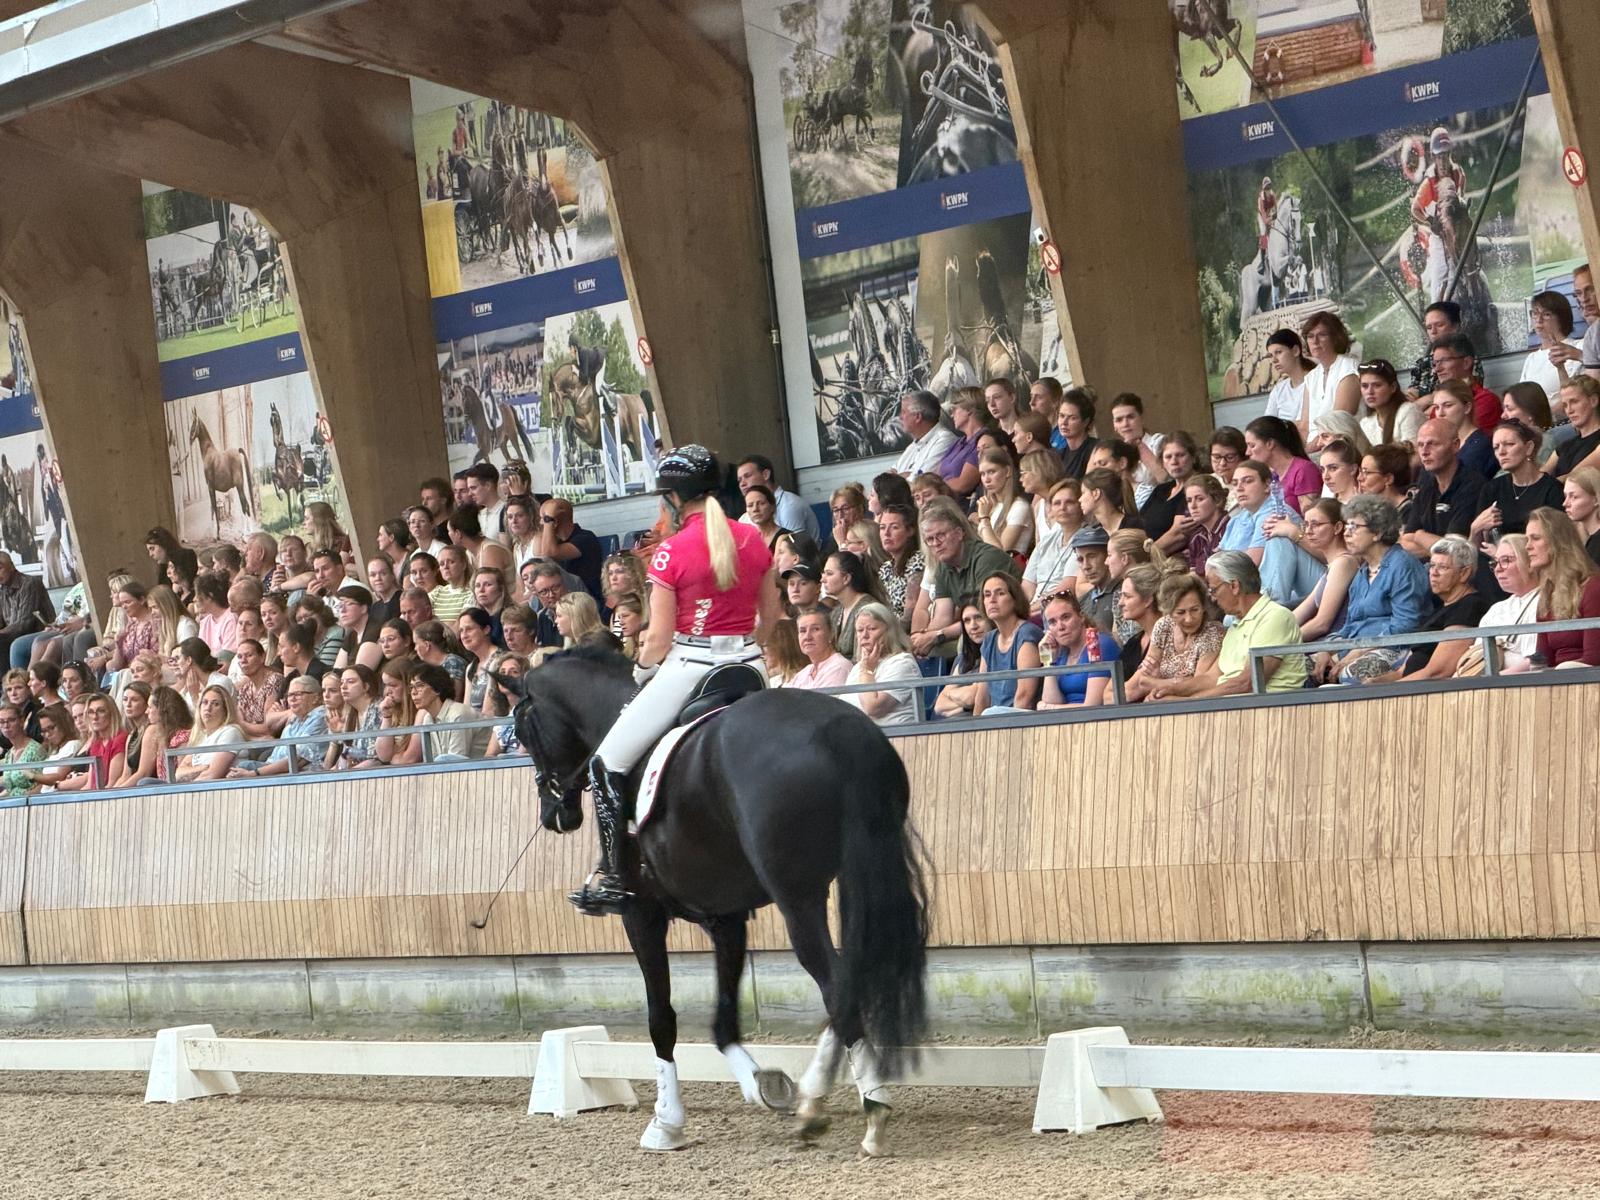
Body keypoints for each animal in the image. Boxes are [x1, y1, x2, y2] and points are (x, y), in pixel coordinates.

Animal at [188, 410, 252, 540]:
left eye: (194, 424)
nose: (189, 439)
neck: (209, 453)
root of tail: (237, 451)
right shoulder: (212, 488)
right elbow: (213, 508)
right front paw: (216, 533)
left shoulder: (210, 487)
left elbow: (213, 508)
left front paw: (216, 535)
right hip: (241, 486)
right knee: (247, 505)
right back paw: (250, 531)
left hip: (239, 486)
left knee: (244, 505)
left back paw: (244, 534)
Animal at [504, 647, 928, 1155]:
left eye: (523, 730)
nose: (555, 815)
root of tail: (841, 729)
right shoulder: (725, 917)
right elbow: (724, 1017)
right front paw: (763, 1086)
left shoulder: (640, 914)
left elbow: (661, 1017)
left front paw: (666, 1122)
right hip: (855, 876)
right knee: (854, 976)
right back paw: (817, 1097)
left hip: (797, 898)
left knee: (838, 983)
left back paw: (866, 1110)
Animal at [1239, 192, 1303, 323]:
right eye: (1293, 221)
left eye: (1301, 219)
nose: (1298, 242)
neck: (1282, 236)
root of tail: (1242, 274)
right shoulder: (1278, 267)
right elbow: (1290, 259)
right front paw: (1293, 278)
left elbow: (1297, 259)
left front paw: (1294, 278)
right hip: (1251, 301)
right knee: (1245, 319)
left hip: (1265, 295)